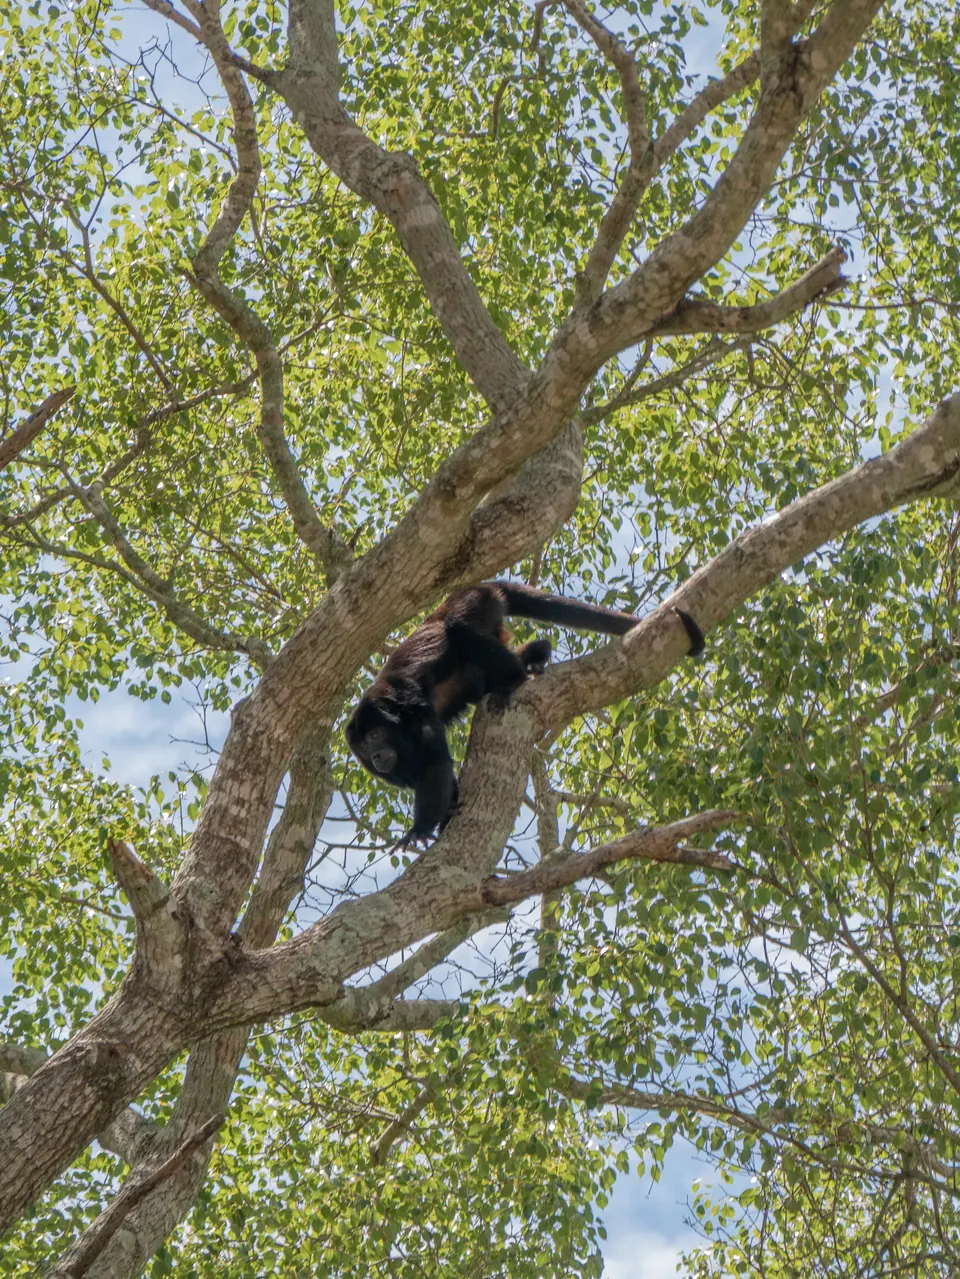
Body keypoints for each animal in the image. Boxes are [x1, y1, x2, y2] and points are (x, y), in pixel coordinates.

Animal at [346, 581, 704, 845]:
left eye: (374, 735)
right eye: (362, 747)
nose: (374, 756)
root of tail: (478, 584)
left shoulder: (412, 708)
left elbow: (435, 762)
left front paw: (420, 829)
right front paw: (445, 818)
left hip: (473, 603)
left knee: (460, 629)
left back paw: (516, 676)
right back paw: (536, 652)